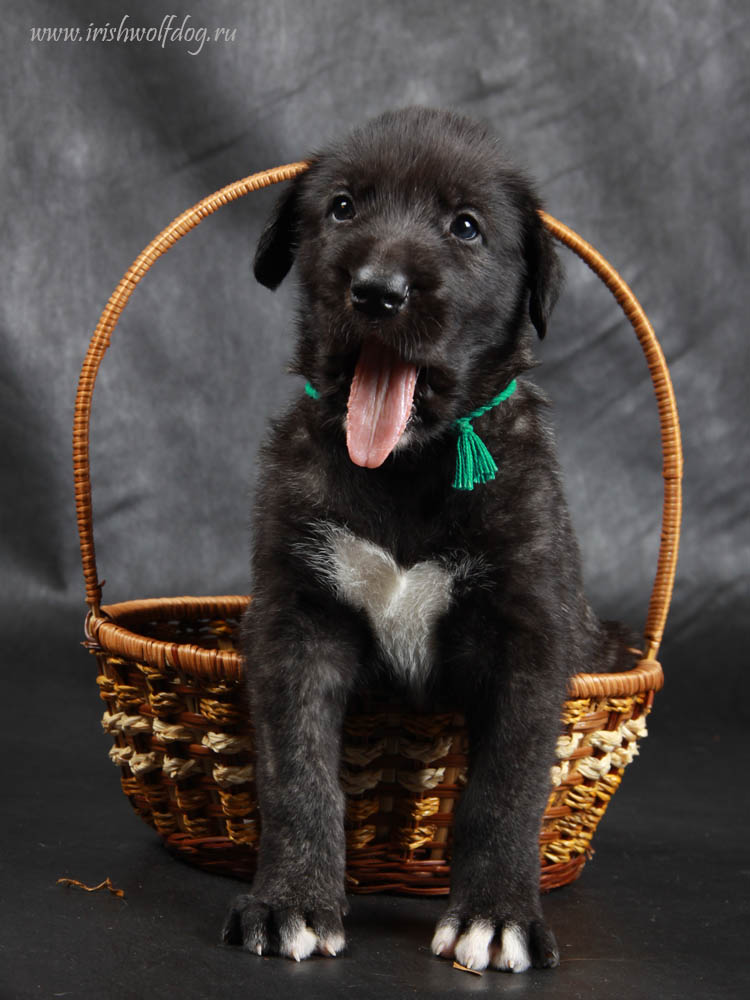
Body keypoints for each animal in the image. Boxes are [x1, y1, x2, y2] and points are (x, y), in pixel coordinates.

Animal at [223, 107, 636, 968]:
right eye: (342, 208)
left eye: (466, 226)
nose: (378, 291)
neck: (406, 471)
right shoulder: (293, 621)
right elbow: (296, 772)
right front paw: (293, 901)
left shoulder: (530, 634)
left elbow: (507, 787)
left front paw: (497, 914)